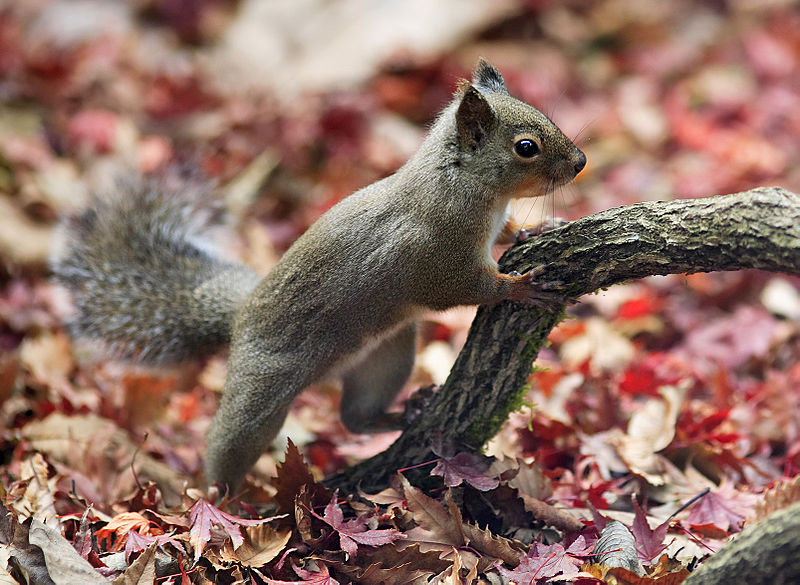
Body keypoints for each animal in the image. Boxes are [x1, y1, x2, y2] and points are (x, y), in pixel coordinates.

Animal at [51, 60, 588, 488]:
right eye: (526, 147)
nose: (581, 162)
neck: (464, 183)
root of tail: (239, 319)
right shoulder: (434, 256)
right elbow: (461, 288)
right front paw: (519, 287)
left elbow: (506, 236)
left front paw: (535, 229)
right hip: (261, 392)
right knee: (230, 442)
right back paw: (220, 501)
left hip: (386, 356)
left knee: (355, 417)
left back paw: (404, 412)